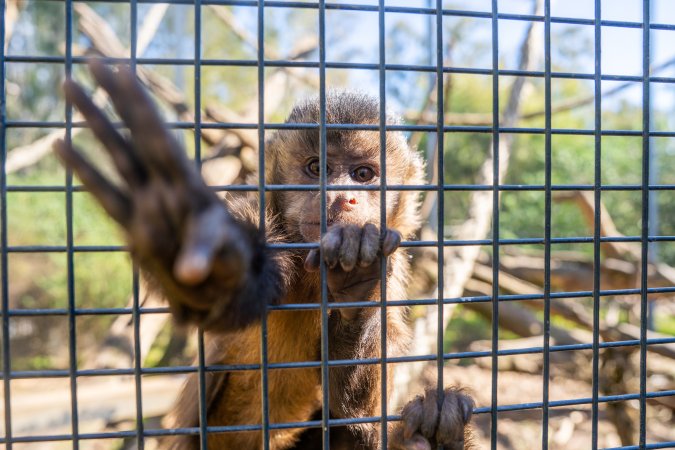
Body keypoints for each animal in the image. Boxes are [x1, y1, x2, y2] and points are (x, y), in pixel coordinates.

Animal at [54, 60, 474, 450]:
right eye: (317, 168)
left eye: (363, 174)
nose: (341, 197)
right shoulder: (255, 212)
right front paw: (195, 244)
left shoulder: (395, 259)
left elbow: (352, 410)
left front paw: (358, 285)